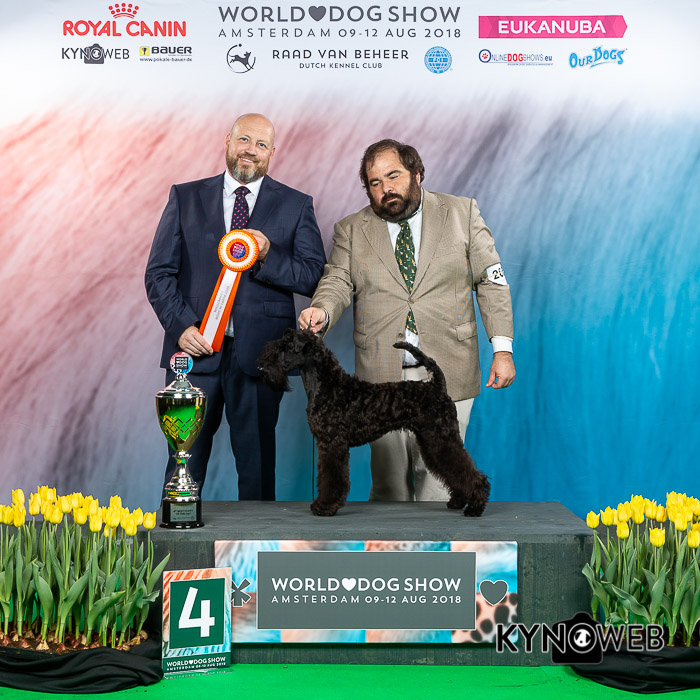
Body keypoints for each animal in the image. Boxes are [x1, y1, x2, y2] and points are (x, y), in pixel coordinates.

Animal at [257, 329, 490, 517]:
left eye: (286, 346)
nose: (260, 367)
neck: (329, 385)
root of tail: (437, 386)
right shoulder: (325, 445)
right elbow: (325, 476)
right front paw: (322, 504)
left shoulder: (333, 444)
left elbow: (334, 477)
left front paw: (326, 506)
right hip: (431, 441)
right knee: (455, 470)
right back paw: (458, 501)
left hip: (441, 439)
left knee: (468, 471)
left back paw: (475, 506)